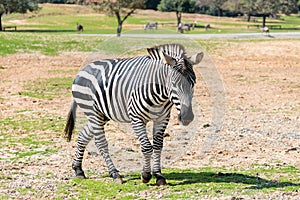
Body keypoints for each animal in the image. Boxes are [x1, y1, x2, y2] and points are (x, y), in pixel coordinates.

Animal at [64, 43, 203, 186]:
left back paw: (78, 170)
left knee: (83, 136)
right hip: (93, 113)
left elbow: (158, 146)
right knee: (101, 143)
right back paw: (115, 174)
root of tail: (83, 69)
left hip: (102, 114)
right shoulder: (136, 118)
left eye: (194, 83)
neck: (160, 95)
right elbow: (147, 147)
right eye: (174, 84)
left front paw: (158, 175)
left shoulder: (162, 118)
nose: (187, 117)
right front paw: (146, 175)